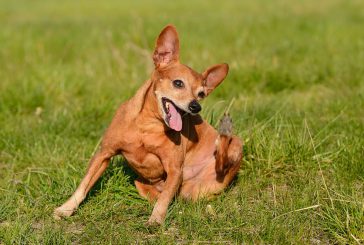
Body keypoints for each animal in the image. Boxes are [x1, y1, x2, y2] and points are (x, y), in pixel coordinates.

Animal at [53, 24, 242, 224]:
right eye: (178, 83)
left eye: (201, 94)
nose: (195, 106)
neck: (147, 126)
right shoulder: (104, 154)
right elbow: (84, 184)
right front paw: (66, 209)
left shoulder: (175, 170)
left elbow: (164, 199)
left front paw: (156, 219)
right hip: (141, 184)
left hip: (231, 153)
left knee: (220, 164)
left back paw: (225, 132)